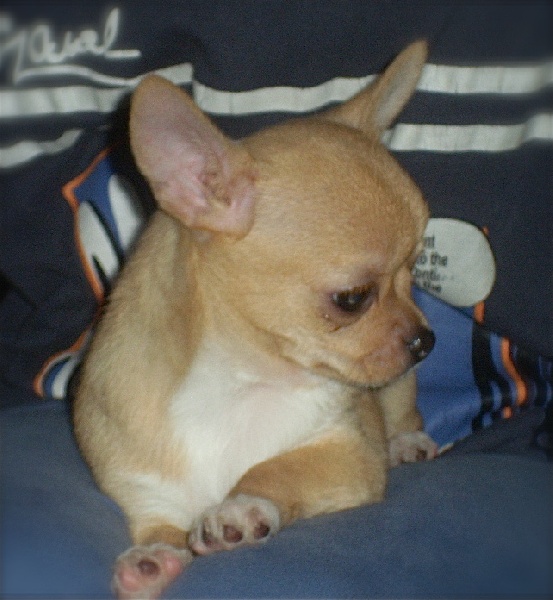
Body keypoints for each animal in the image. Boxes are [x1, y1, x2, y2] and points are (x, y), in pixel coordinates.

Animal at [74, 40, 437, 599]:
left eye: (415, 270)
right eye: (352, 299)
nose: (427, 340)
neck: (238, 382)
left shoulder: (349, 454)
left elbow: (279, 466)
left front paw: (240, 507)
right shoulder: (142, 484)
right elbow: (159, 522)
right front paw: (153, 557)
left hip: (394, 388)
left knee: (401, 407)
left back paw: (408, 441)